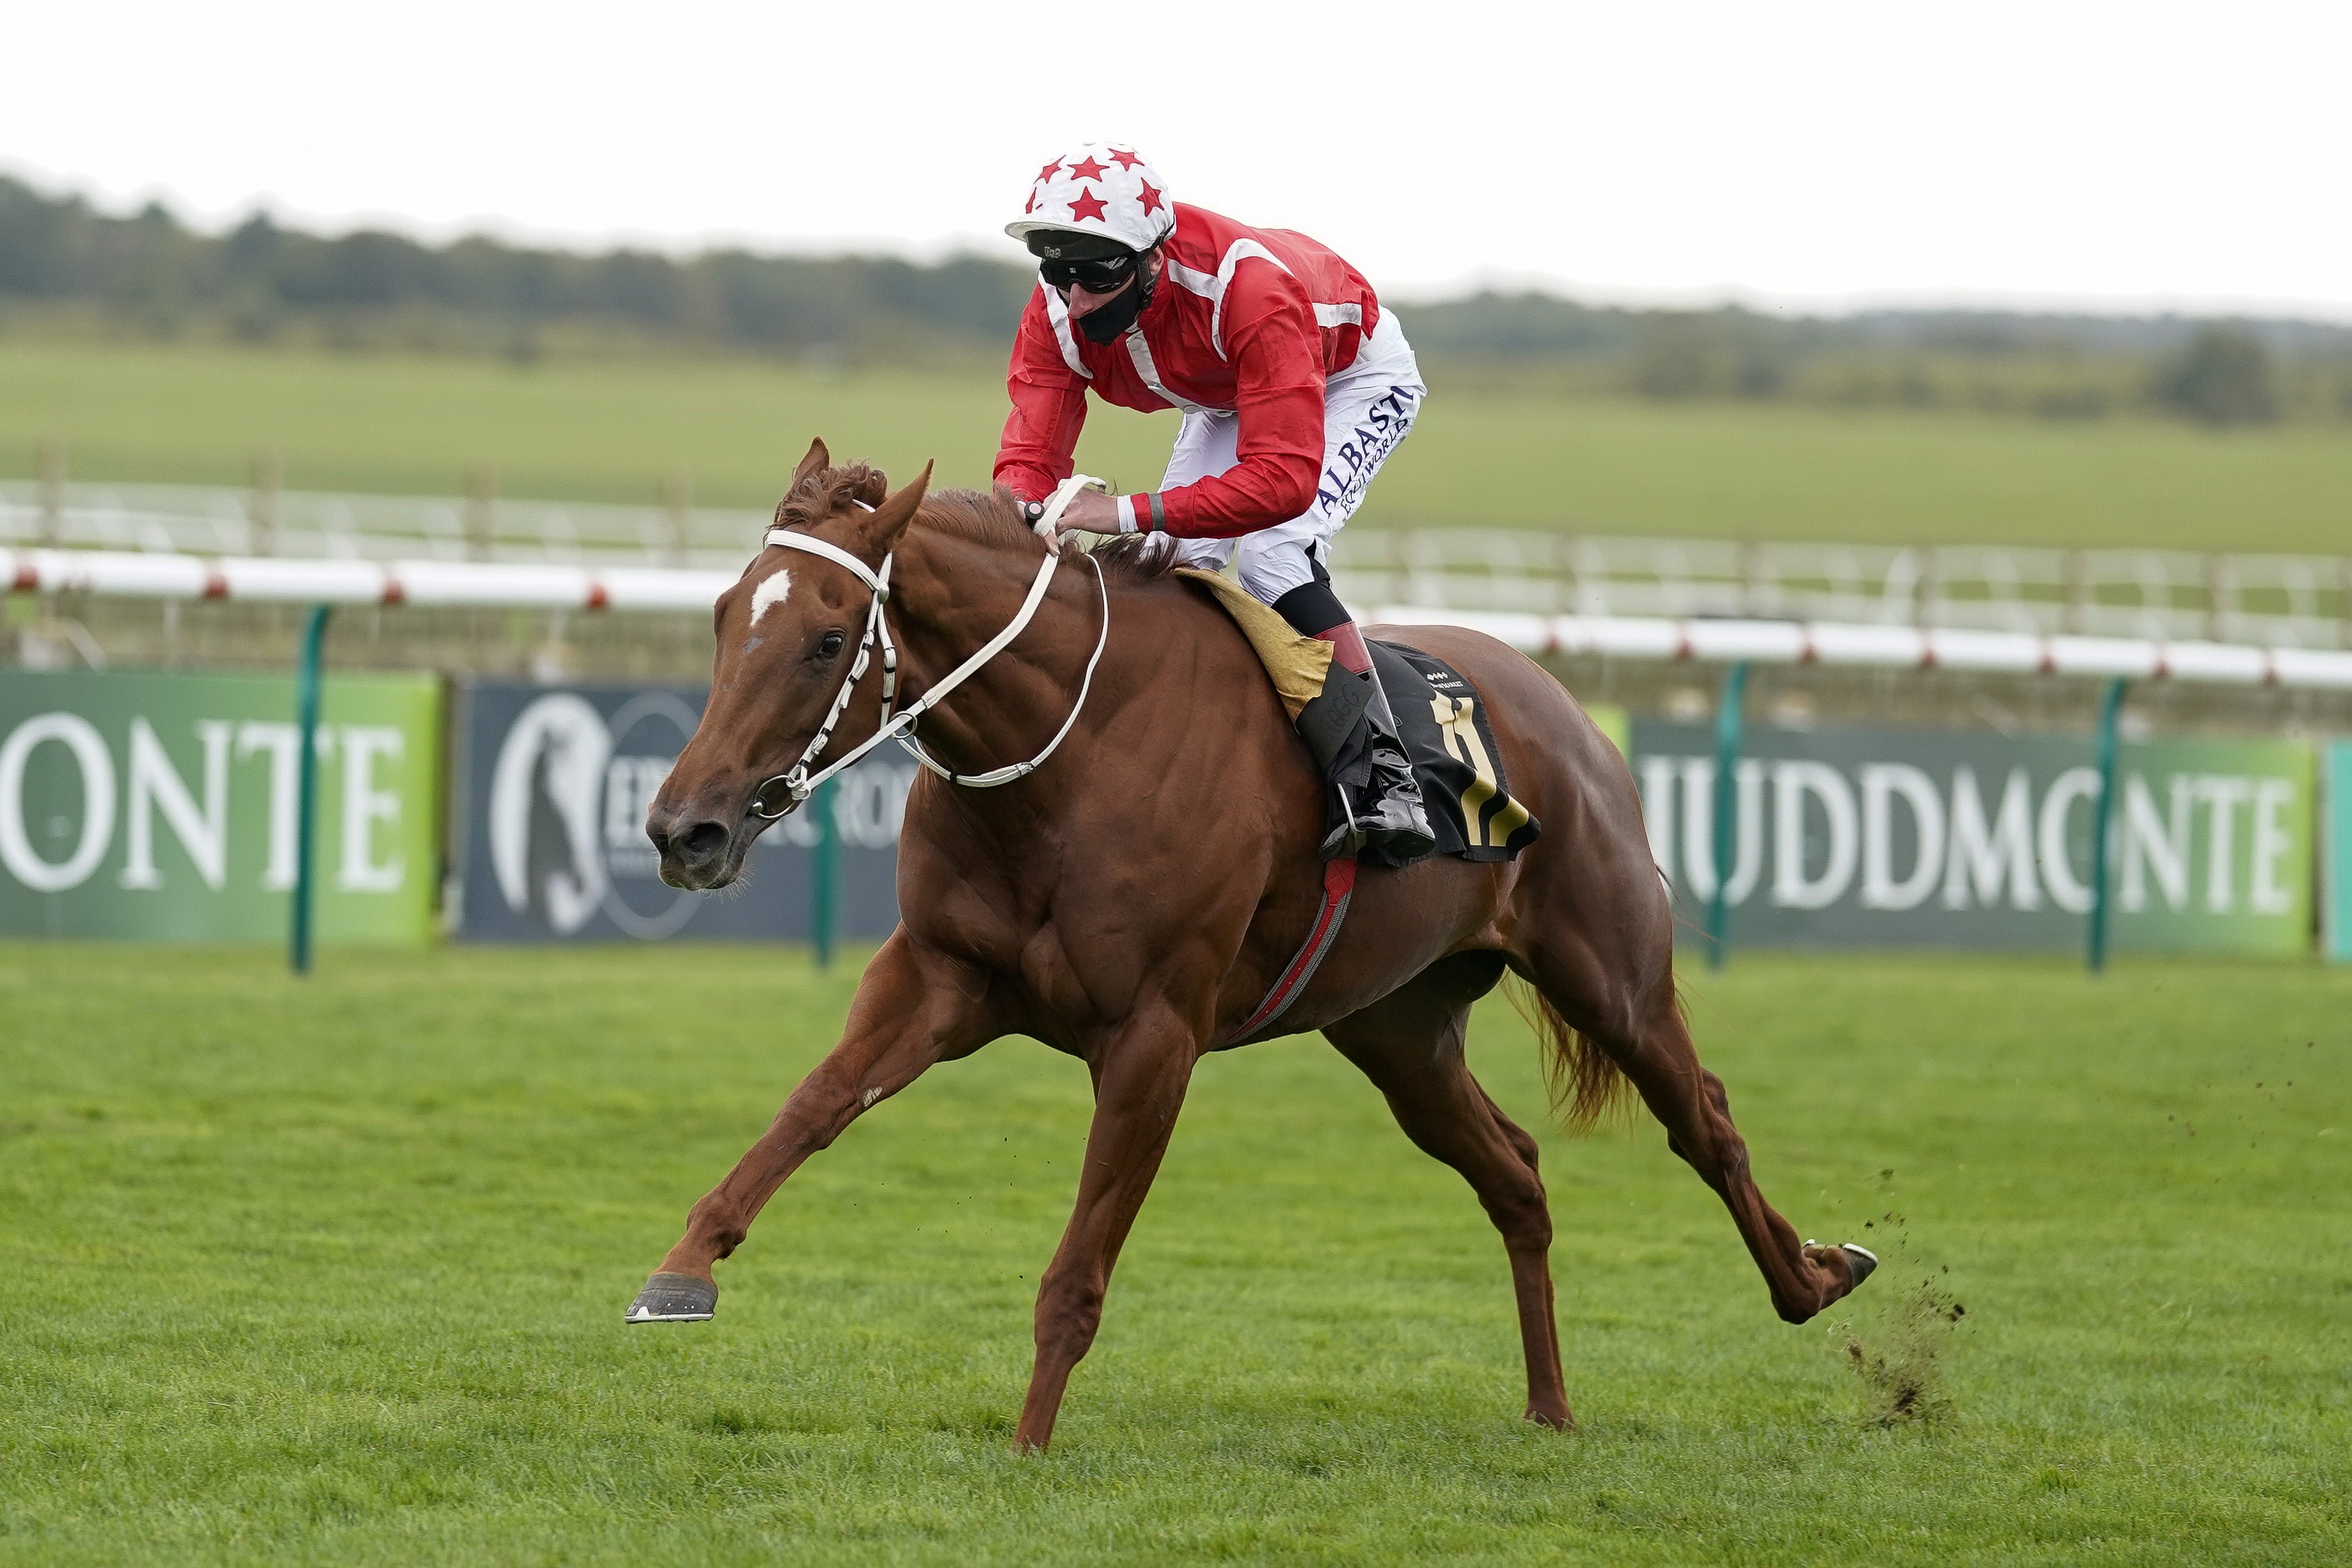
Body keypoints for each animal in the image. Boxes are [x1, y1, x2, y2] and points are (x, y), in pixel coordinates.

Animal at [630, 440, 1872, 1448]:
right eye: (726, 616)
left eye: (827, 637)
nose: (685, 829)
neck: (1070, 754)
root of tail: (1557, 701)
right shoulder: (939, 977)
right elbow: (810, 1109)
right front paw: (682, 1271)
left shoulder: (1154, 1035)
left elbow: (1076, 1274)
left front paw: (1028, 1446)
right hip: (1399, 1029)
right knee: (1515, 1172)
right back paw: (1551, 1406)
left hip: (1610, 970)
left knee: (1705, 1122)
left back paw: (1815, 1279)